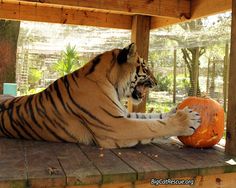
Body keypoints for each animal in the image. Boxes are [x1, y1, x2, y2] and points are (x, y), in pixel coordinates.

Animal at [0, 43, 200, 148]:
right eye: (145, 67)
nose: (157, 82)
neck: (111, 82)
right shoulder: (115, 125)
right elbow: (152, 126)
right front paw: (187, 120)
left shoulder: (122, 113)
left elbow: (152, 117)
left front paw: (176, 110)